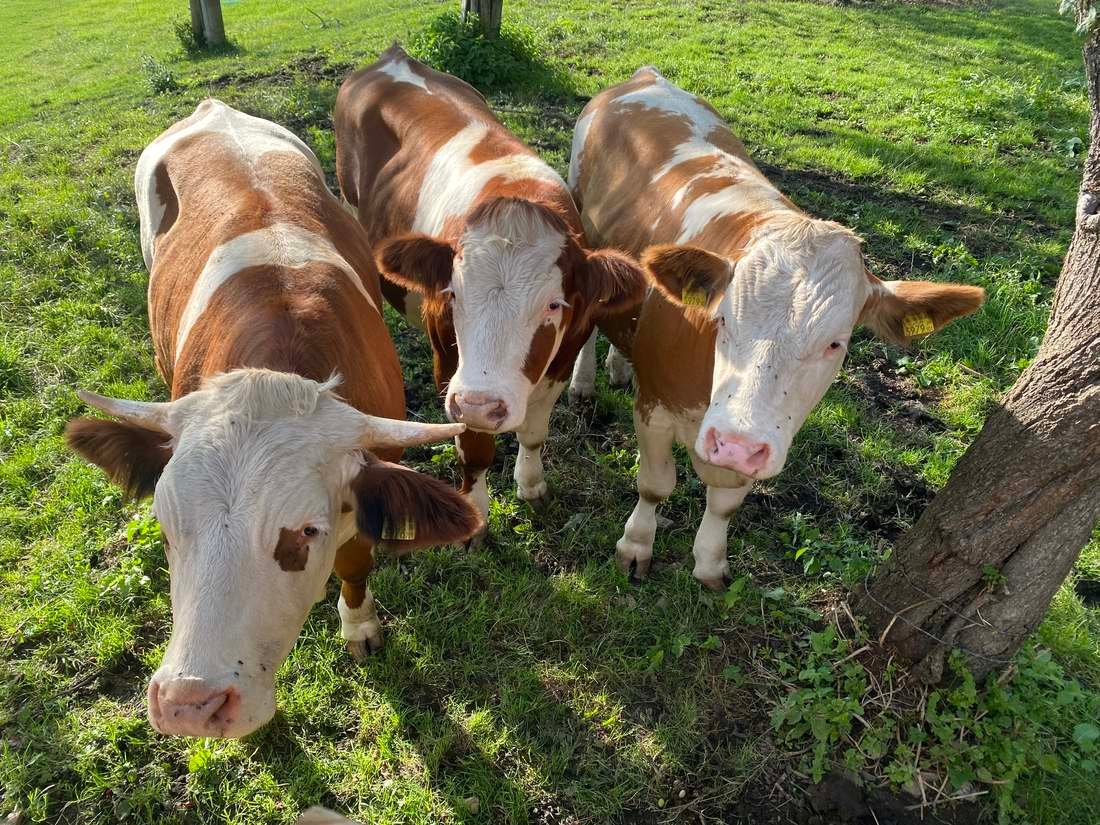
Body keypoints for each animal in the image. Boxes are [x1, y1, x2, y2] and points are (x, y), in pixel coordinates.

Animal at [334, 45, 647, 537]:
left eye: (553, 304)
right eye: (452, 295)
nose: (484, 403)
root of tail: (393, 57)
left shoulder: (558, 358)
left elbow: (534, 432)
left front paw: (531, 484)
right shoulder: (452, 368)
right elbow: (476, 448)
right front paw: (477, 515)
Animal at [568, 68, 985, 590]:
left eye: (835, 344)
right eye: (723, 319)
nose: (735, 445)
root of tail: (648, 78)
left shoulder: (768, 433)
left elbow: (725, 504)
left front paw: (711, 564)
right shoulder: (656, 408)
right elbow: (655, 485)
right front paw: (635, 547)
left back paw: (620, 367)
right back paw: (583, 383)